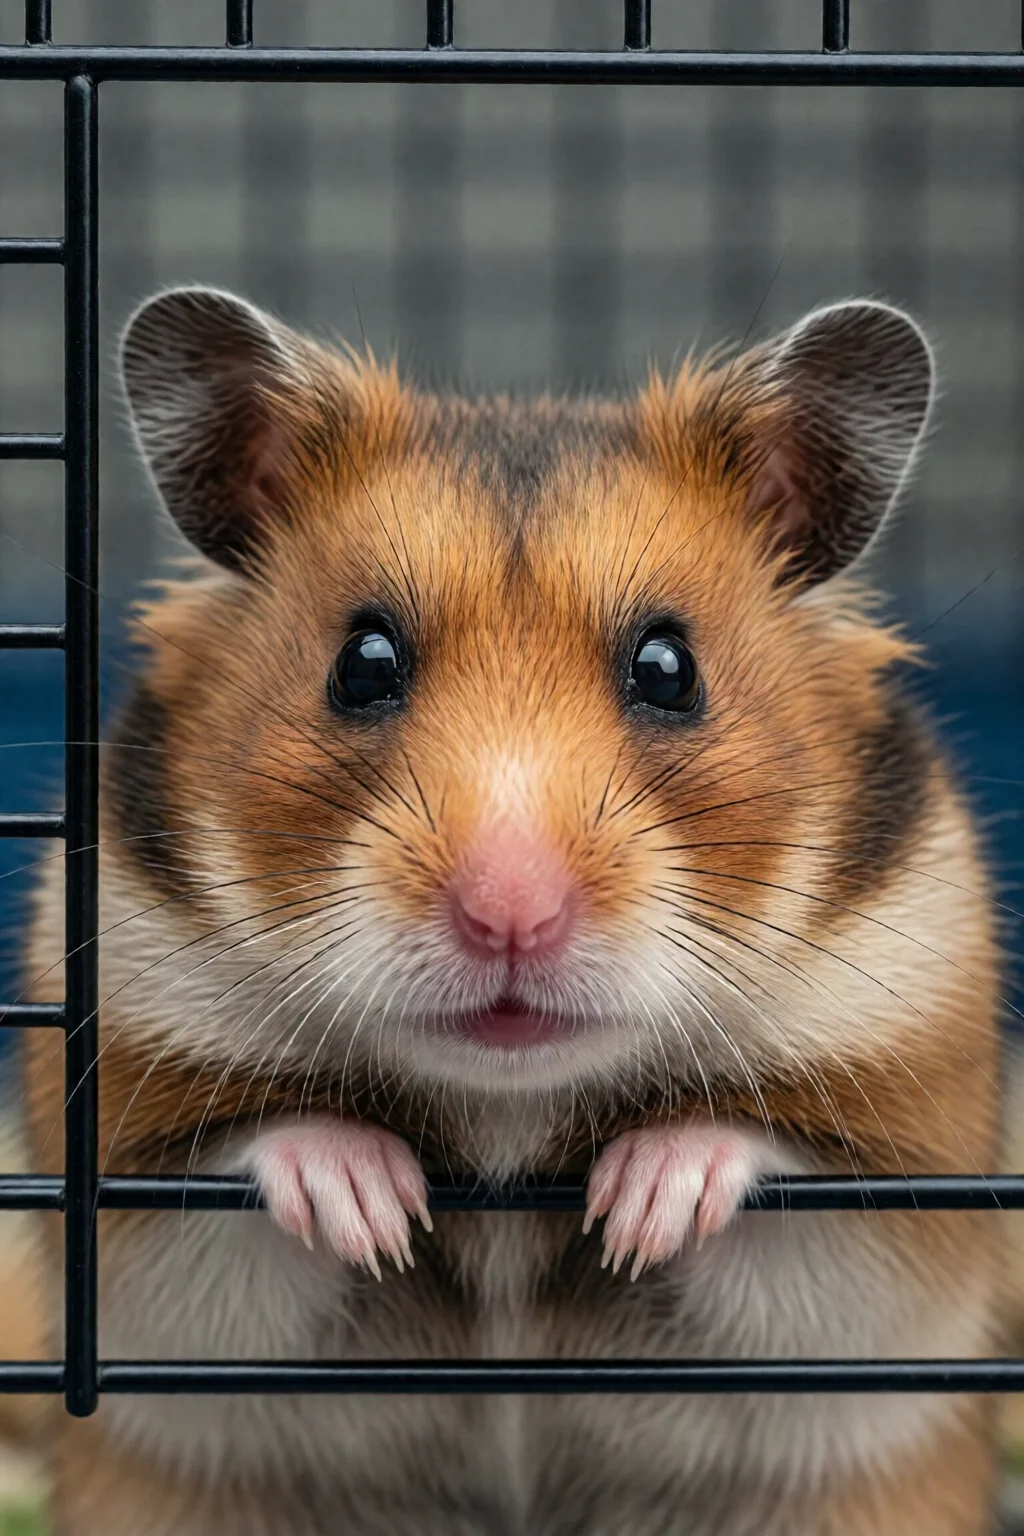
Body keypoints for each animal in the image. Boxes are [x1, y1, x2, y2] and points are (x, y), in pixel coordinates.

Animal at [18, 287, 1003, 1536]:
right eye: (362, 661)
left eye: (669, 668)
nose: (509, 920)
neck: (507, 1118)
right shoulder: (123, 1223)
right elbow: (251, 1167)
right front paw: (370, 1200)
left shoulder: (906, 1222)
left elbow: (769, 1177)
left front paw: (644, 1199)